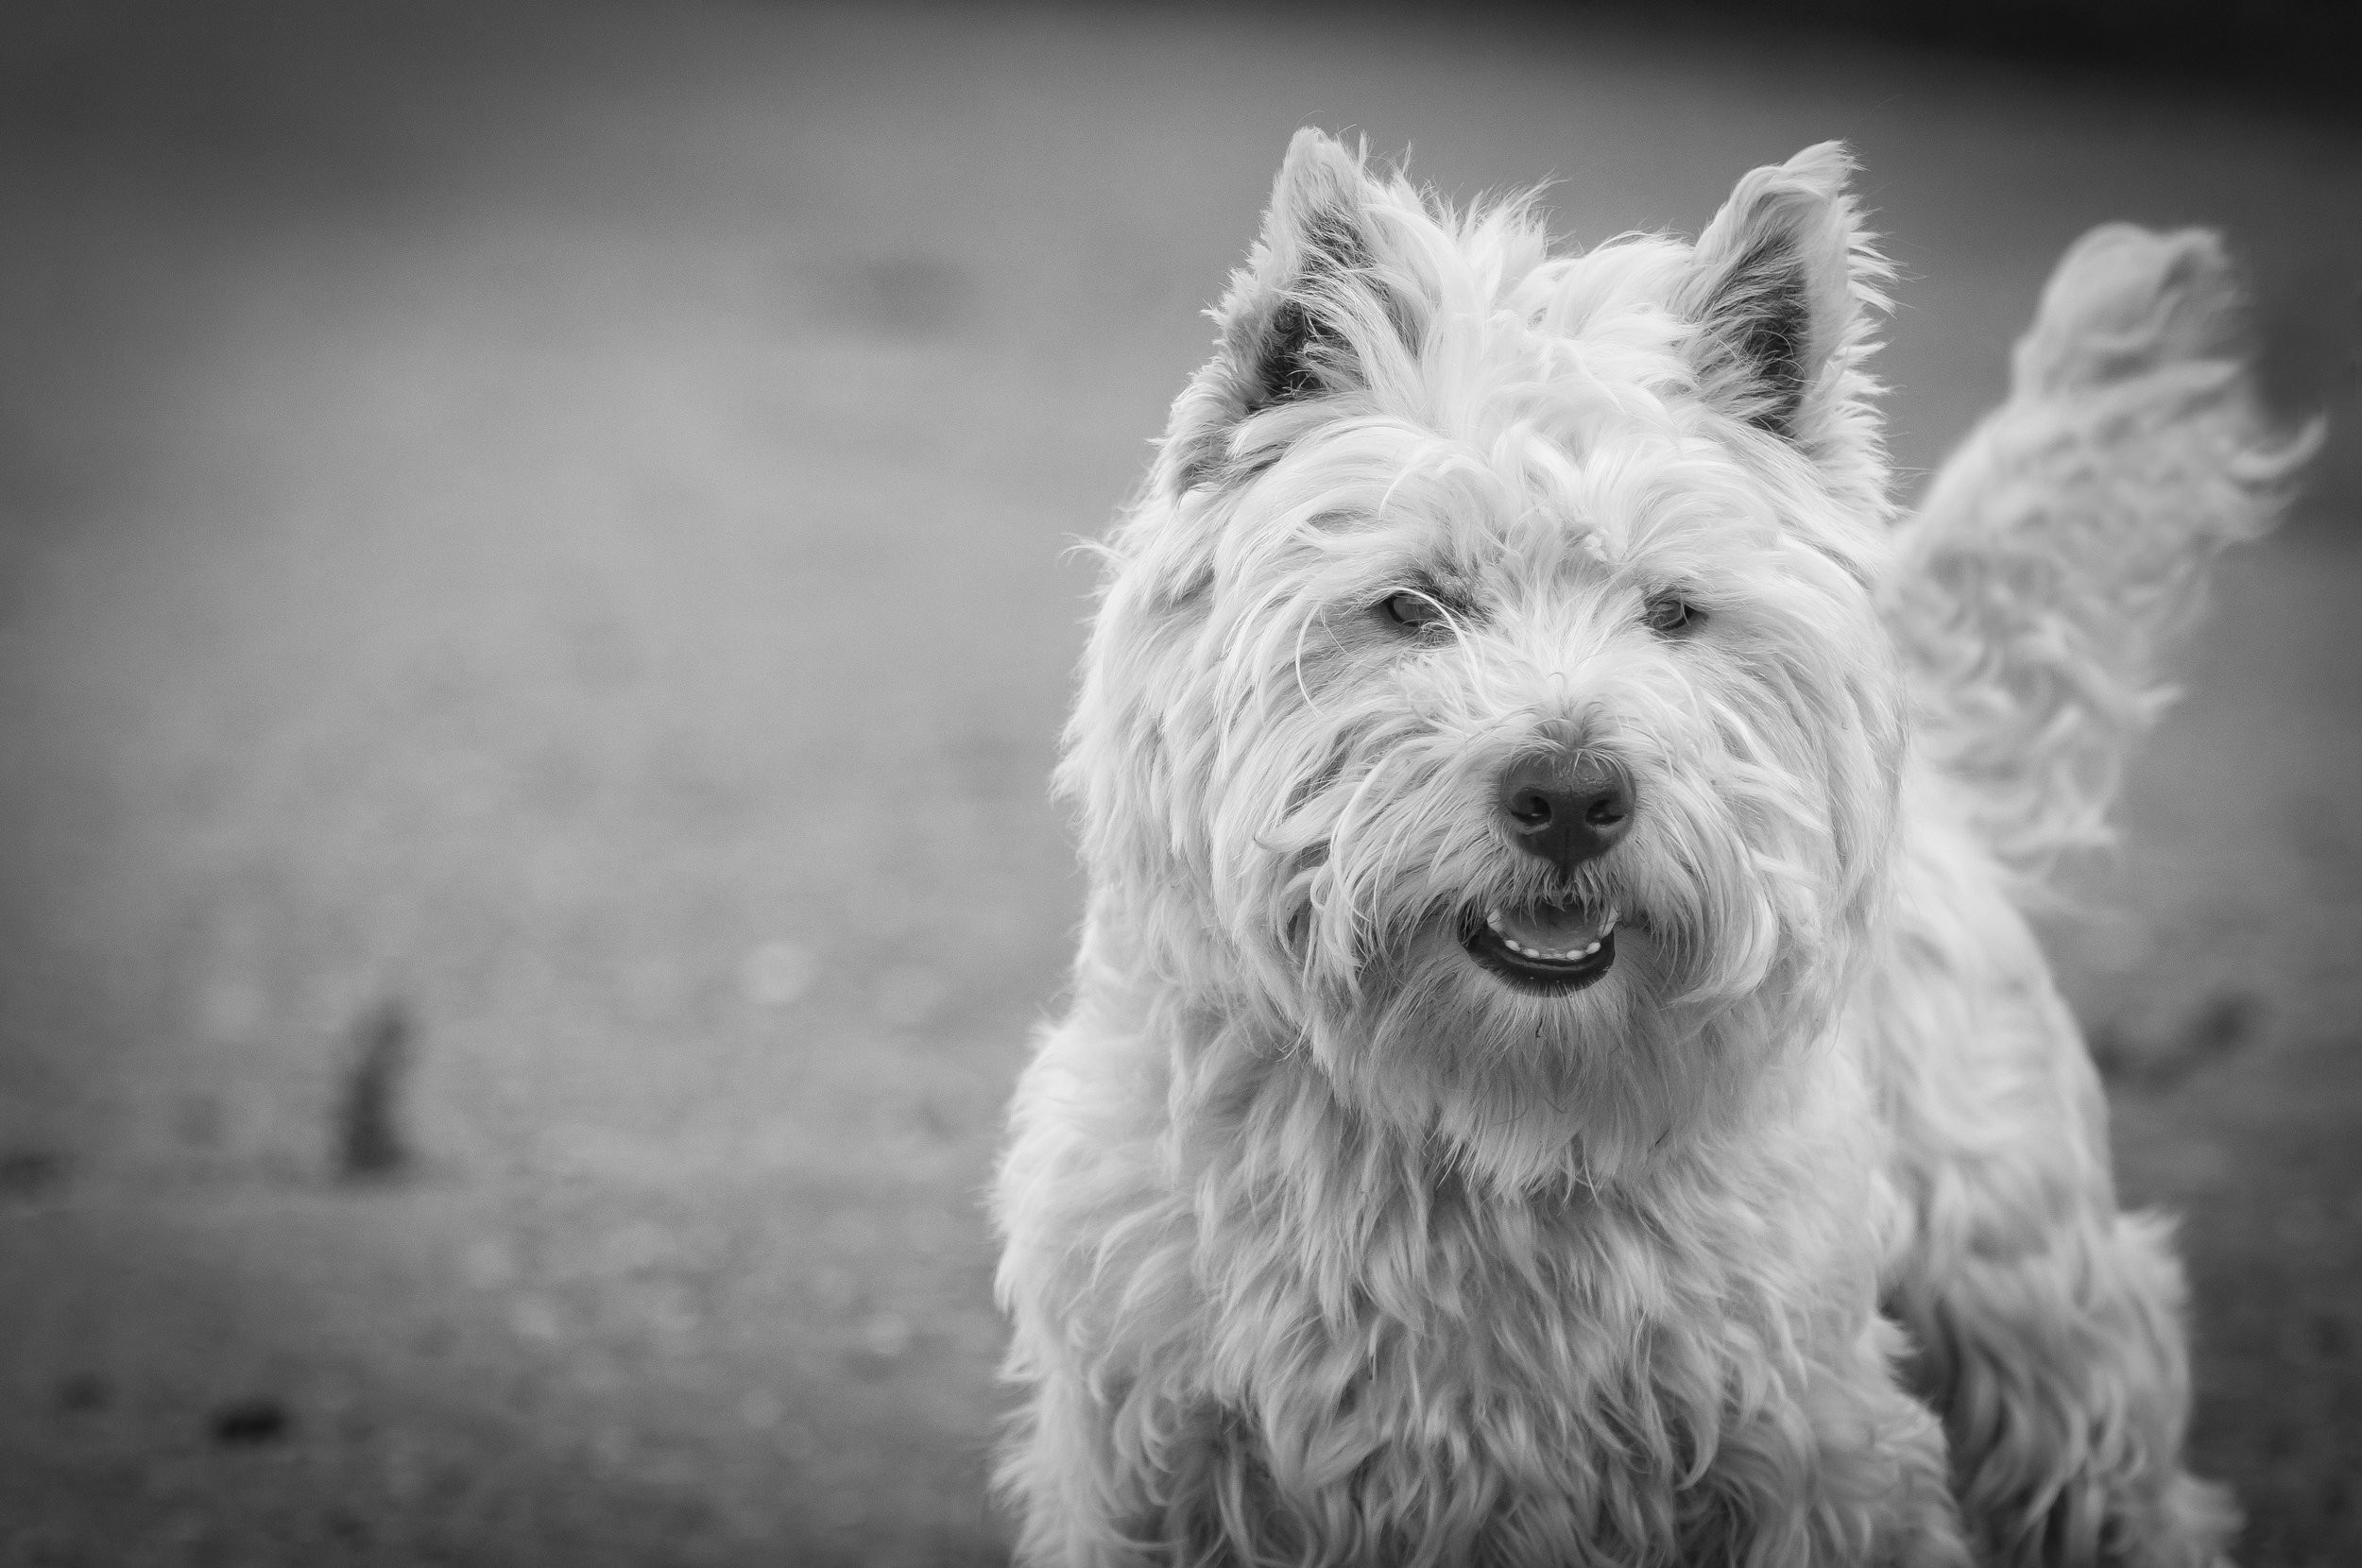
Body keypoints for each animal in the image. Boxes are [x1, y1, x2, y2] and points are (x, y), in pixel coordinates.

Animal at [987, 131, 2315, 1568]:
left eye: (1674, 612)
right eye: (1412, 605)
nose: (1572, 793)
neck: (1488, 1122)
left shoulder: (1809, 1442)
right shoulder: (1155, 1453)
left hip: (2027, 1292)